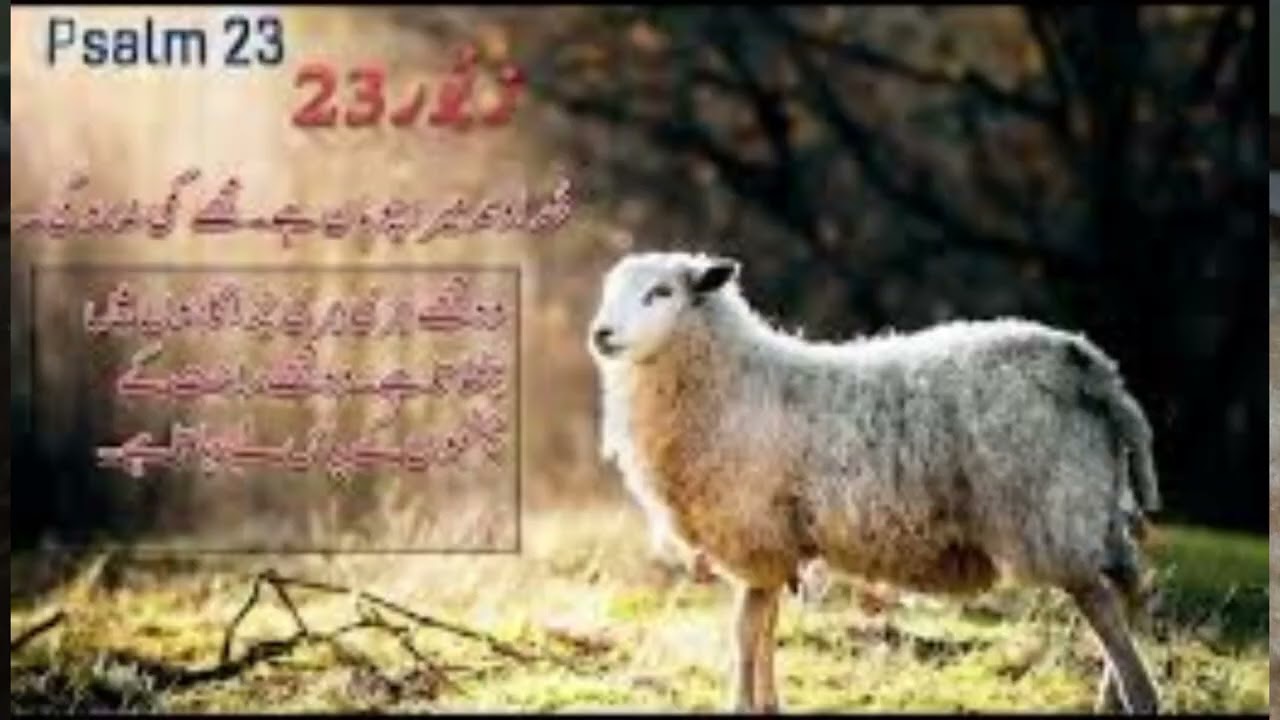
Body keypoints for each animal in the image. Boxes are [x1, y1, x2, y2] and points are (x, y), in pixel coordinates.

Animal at [587, 251, 1161, 714]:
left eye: (660, 292)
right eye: (609, 289)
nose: (601, 334)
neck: (731, 379)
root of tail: (1090, 366)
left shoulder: (757, 532)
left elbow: (745, 631)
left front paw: (742, 705)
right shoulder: (778, 544)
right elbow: (766, 626)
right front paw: (768, 704)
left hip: (1051, 508)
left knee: (1102, 605)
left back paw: (1138, 696)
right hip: (1094, 508)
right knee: (1126, 593)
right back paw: (1113, 696)